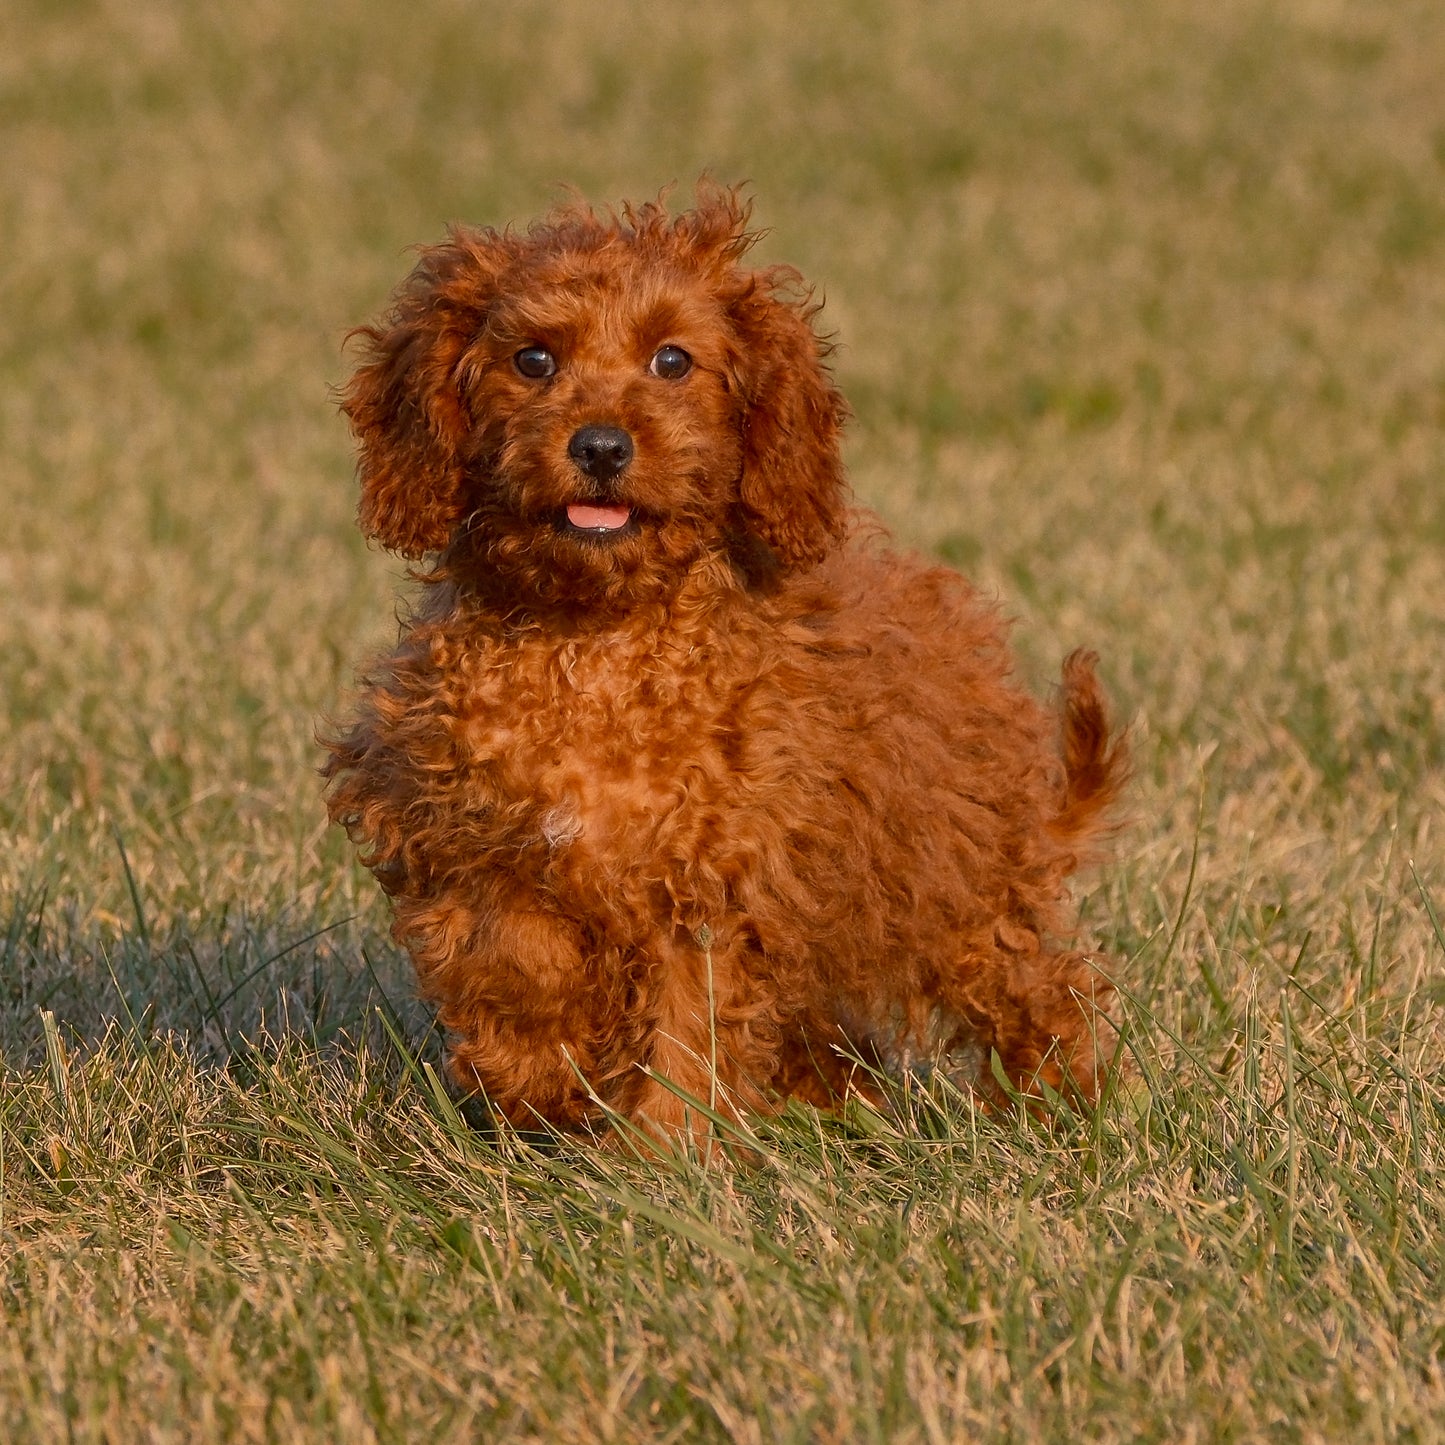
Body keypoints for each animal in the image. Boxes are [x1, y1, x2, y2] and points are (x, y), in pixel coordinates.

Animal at [328, 183, 1127, 1150]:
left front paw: (662, 1155)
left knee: (1035, 989)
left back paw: (1066, 1106)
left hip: (954, 883)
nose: (601, 446)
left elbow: (686, 1029)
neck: (595, 635)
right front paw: (543, 1084)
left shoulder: (714, 880)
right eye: (532, 359)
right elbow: (511, 958)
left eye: (672, 359)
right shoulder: (457, 834)